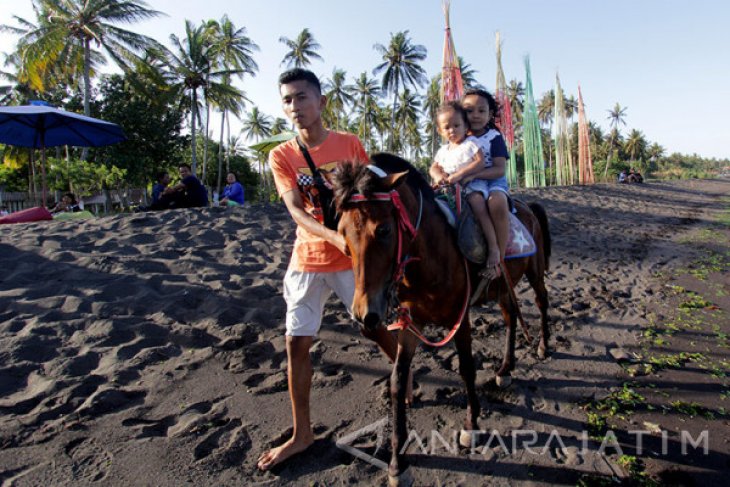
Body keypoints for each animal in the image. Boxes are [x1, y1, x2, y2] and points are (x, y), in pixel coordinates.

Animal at [328, 153, 548, 484]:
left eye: (384, 230)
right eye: (341, 233)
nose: (365, 314)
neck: (430, 257)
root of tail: (526, 207)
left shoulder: (461, 317)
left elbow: (467, 369)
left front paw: (472, 426)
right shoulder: (411, 324)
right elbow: (397, 380)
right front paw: (397, 462)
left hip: (533, 273)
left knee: (541, 301)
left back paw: (544, 347)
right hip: (501, 288)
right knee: (511, 317)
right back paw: (506, 369)